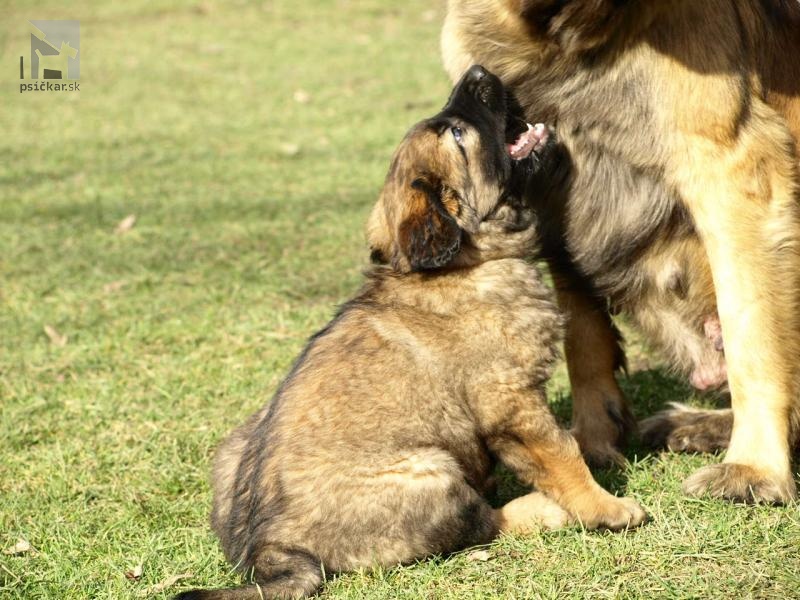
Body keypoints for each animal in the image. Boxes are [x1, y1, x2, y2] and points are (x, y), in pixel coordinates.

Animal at [178, 65, 648, 600]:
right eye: (458, 134)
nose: (479, 71)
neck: (467, 261)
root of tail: (271, 548)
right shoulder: (510, 399)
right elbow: (561, 453)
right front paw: (608, 508)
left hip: (234, 445)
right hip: (432, 473)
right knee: (481, 525)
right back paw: (542, 509)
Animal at [444, 2, 800, 504]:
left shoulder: (733, 169)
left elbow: (751, 336)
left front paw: (753, 468)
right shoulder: (552, 191)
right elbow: (582, 335)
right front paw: (592, 440)